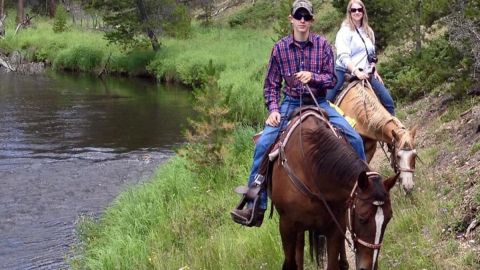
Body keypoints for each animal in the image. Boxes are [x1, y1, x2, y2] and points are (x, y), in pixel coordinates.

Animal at [270, 109, 398, 270]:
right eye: (362, 218)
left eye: (389, 218)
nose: (369, 267)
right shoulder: (287, 225)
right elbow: (290, 263)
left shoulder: (336, 225)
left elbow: (333, 262)